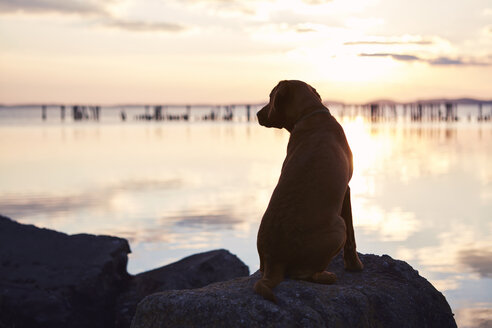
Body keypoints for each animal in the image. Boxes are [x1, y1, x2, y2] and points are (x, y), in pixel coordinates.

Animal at [256, 80, 364, 302]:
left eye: (270, 96)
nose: (257, 114)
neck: (311, 113)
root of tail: (274, 261)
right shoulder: (346, 190)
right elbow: (352, 236)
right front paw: (355, 265)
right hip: (338, 227)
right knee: (304, 274)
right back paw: (326, 275)